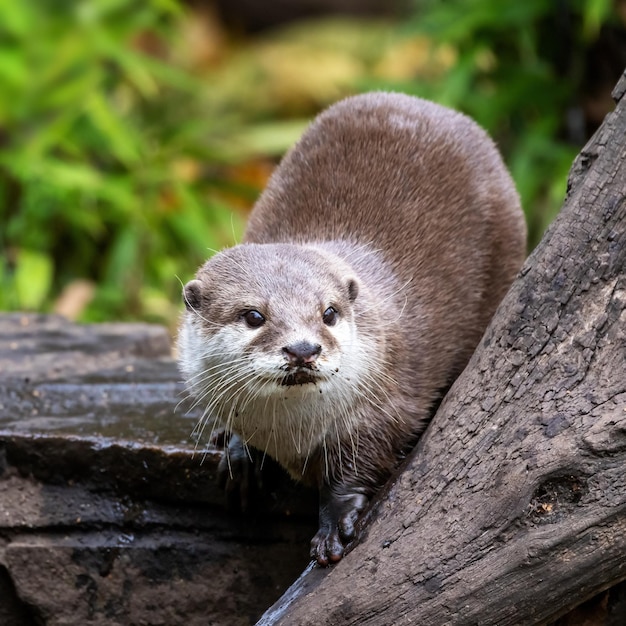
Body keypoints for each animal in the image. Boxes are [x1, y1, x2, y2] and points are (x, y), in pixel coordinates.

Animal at [177, 92, 528, 564]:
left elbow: (362, 460)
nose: (303, 349)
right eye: (253, 316)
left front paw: (335, 522)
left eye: (328, 312)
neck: (288, 434)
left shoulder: (384, 402)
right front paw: (239, 454)